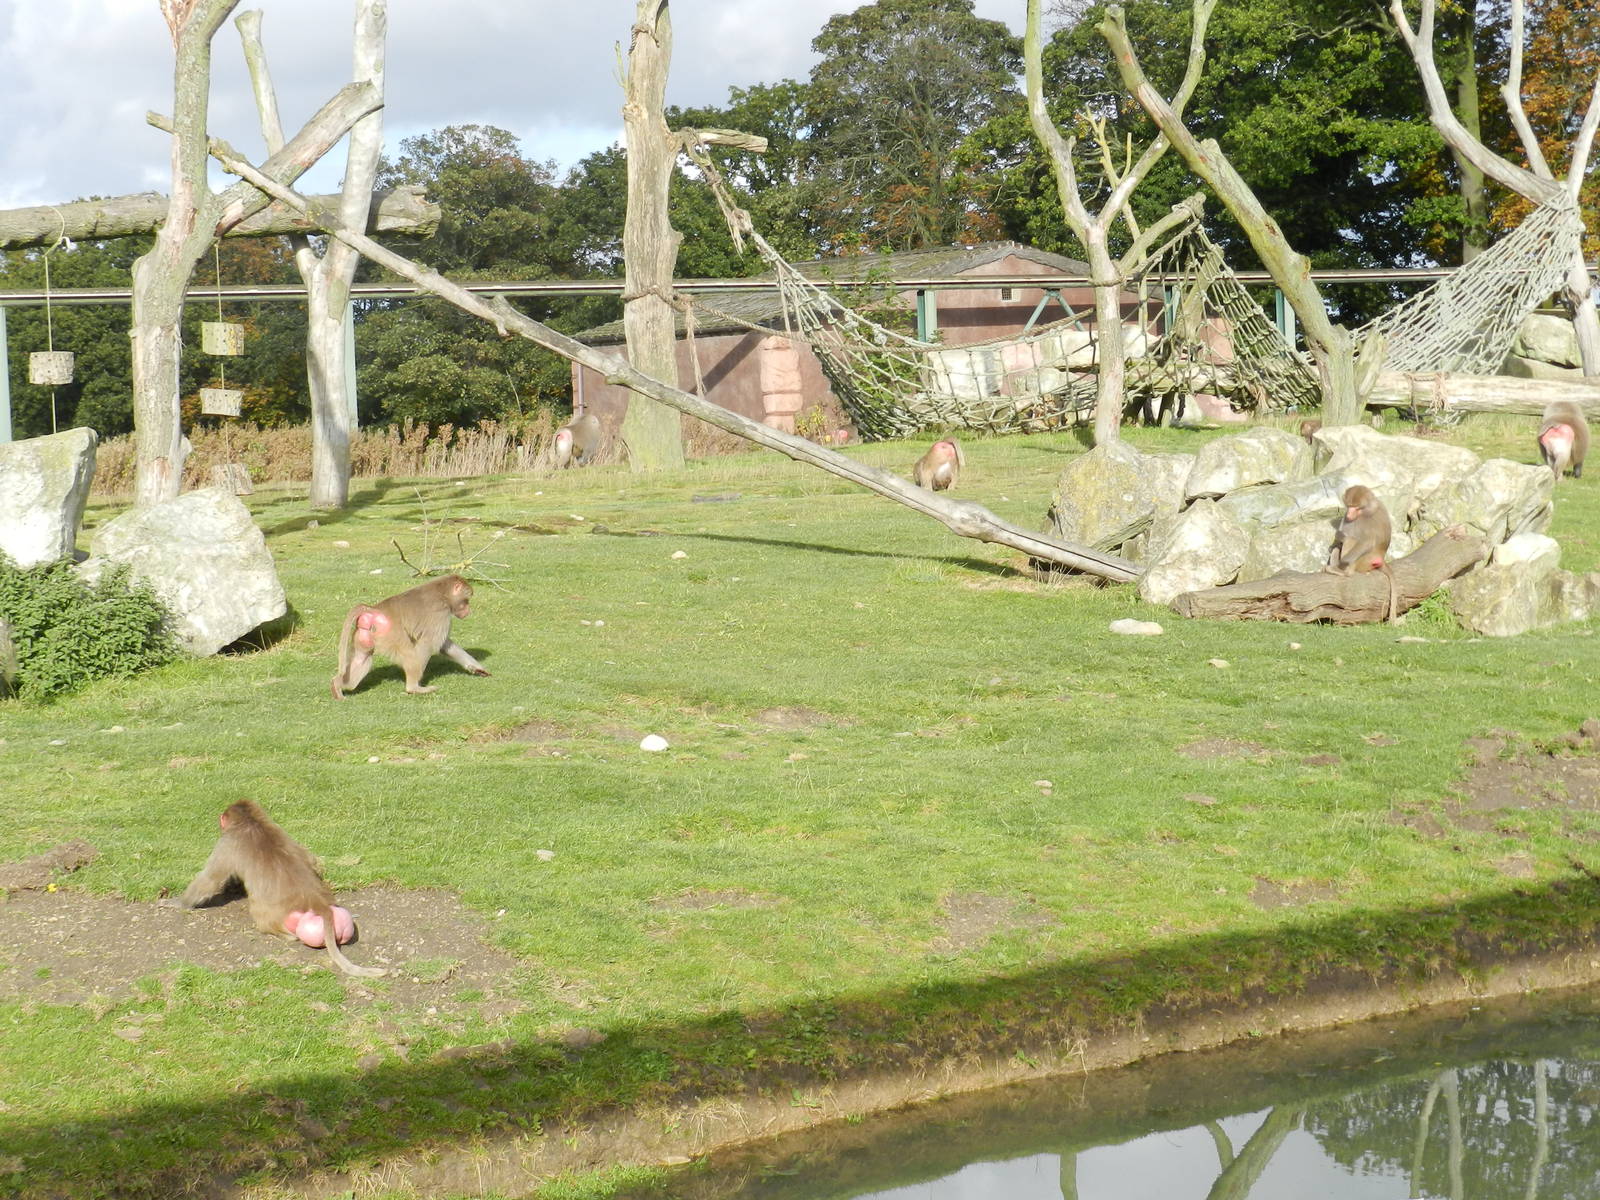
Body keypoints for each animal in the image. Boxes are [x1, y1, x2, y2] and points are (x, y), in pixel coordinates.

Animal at [170, 800, 385, 978]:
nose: (219, 822)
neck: (253, 822)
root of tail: (316, 901)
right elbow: (312, 860)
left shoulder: (227, 843)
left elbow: (209, 880)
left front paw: (176, 903)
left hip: (271, 913)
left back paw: (284, 935)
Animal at [331, 573, 489, 699]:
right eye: (466, 601)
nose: (468, 611)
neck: (443, 594)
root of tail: (372, 610)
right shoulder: (440, 614)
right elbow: (430, 644)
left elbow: (445, 645)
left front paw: (476, 668)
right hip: (392, 634)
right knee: (409, 654)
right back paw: (414, 688)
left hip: (364, 635)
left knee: (362, 659)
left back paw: (337, 685)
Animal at [1325, 484, 1398, 625]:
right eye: (1349, 506)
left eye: (1357, 507)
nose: (1349, 514)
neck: (1367, 509)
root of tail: (1381, 558)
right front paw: (1332, 546)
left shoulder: (1366, 520)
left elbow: (1366, 542)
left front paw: (1343, 562)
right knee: (1340, 544)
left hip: (1364, 561)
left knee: (1351, 540)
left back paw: (1344, 571)